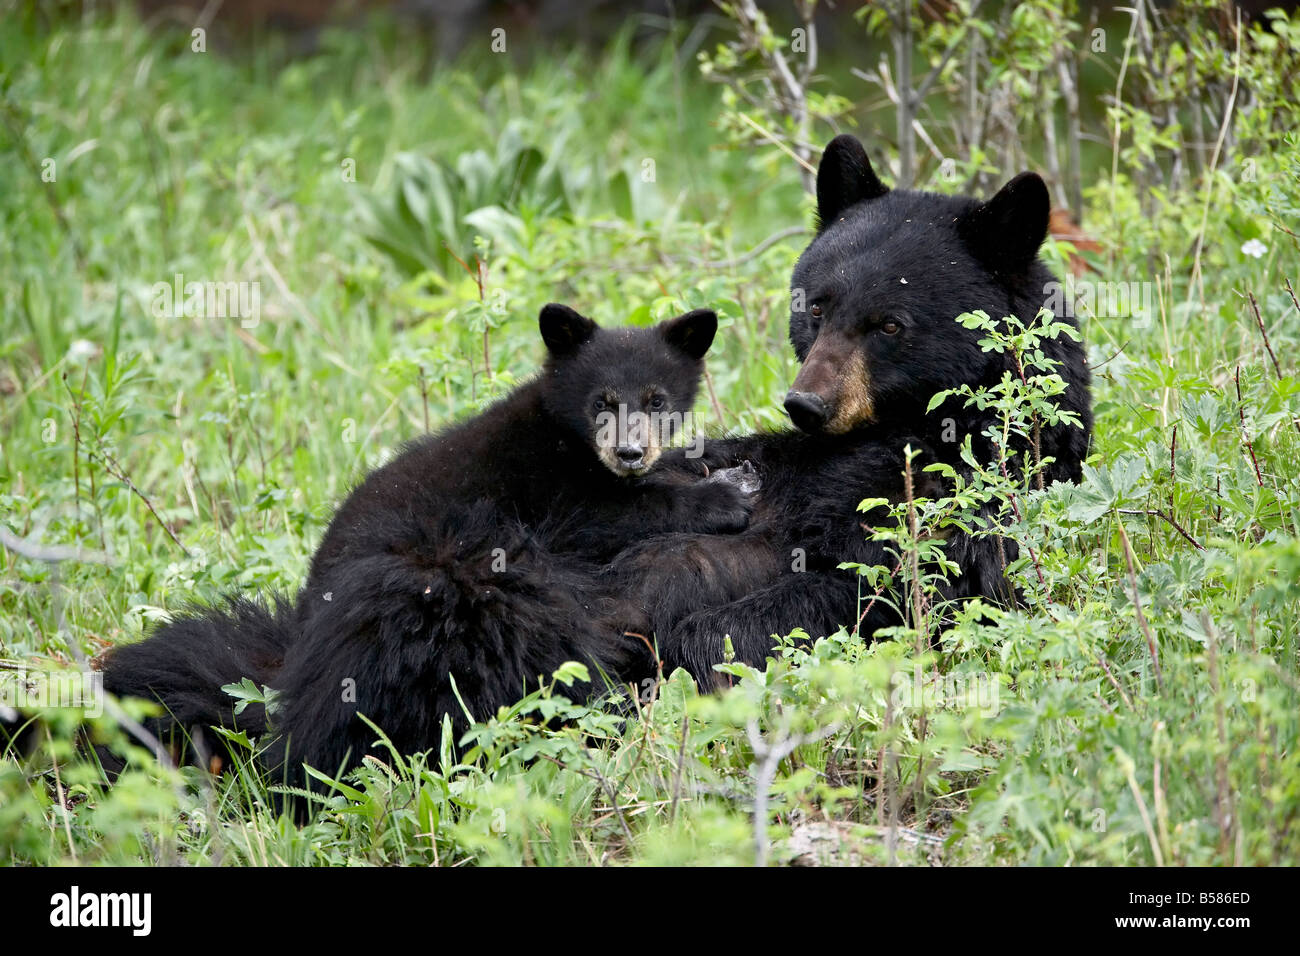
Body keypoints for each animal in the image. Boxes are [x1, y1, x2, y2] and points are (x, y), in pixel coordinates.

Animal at [98, 304, 754, 785]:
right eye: (601, 402)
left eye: (657, 400)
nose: (629, 452)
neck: (568, 442)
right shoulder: (547, 488)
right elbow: (604, 516)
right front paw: (723, 498)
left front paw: (699, 467)